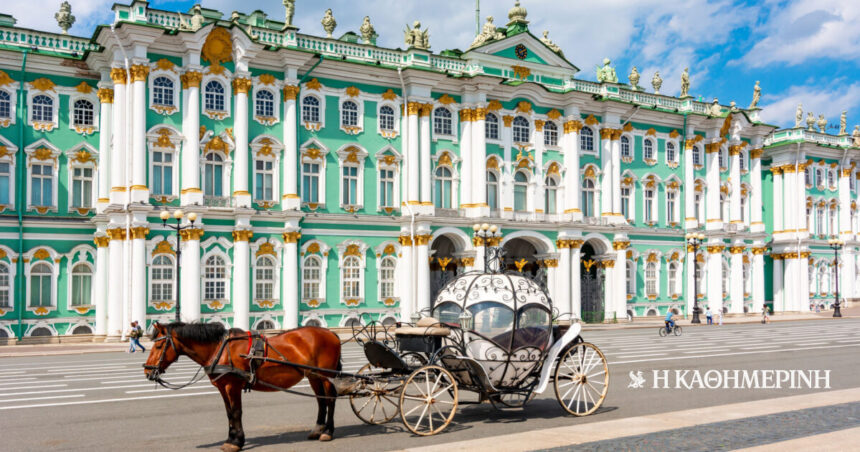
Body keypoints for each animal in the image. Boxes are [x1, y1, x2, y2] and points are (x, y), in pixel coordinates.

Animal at [143, 322, 340, 452]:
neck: (220, 349)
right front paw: (231, 438)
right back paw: (317, 430)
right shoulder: (222, 386)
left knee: (330, 399)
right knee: (321, 400)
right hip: (314, 376)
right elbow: (229, 413)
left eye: (159, 345)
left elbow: (236, 412)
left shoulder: (233, 385)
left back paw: (327, 432)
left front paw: (236, 442)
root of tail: (332, 334)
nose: (146, 371)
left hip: (326, 376)